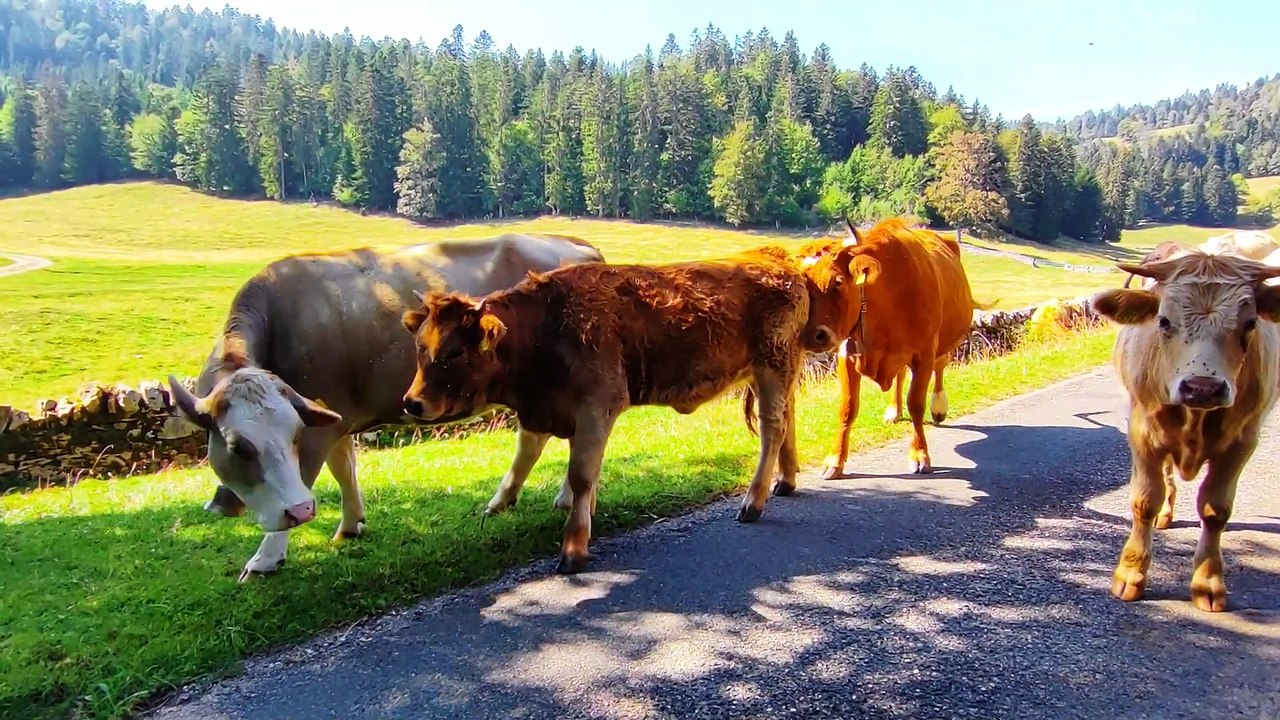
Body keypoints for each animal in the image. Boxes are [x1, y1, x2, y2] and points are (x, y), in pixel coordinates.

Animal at [167, 233, 605, 582]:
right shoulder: (329, 413)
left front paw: (265, 558)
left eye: (291, 436)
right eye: (239, 447)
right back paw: (533, 499)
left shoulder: (315, 428)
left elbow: (306, 477)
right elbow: (343, 467)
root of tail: (573, 244)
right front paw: (350, 525)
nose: (304, 513)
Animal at [399, 246, 841, 575]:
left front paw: (574, 545)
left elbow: (580, 473)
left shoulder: (598, 404)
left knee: (771, 429)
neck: (547, 326)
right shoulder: (546, 408)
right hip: (779, 371)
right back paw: (786, 481)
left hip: (773, 366)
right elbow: (528, 455)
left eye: (454, 352)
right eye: (420, 346)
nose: (411, 402)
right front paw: (502, 505)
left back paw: (753, 501)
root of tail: (778, 260)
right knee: (788, 419)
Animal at [797, 217, 983, 477]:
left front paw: (919, 455)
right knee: (900, 374)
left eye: (838, 281)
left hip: (945, 340)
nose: (814, 335)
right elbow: (847, 408)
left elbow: (916, 403)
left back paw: (938, 406)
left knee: (940, 367)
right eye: (802, 283)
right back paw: (894, 411)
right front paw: (834, 461)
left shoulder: (924, 352)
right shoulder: (847, 354)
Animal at [1091, 250, 1280, 612]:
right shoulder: (1142, 433)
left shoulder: (1242, 442)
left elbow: (1215, 509)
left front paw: (1208, 583)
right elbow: (1144, 501)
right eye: (1164, 321)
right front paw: (1130, 575)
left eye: (1250, 323)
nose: (1202, 387)